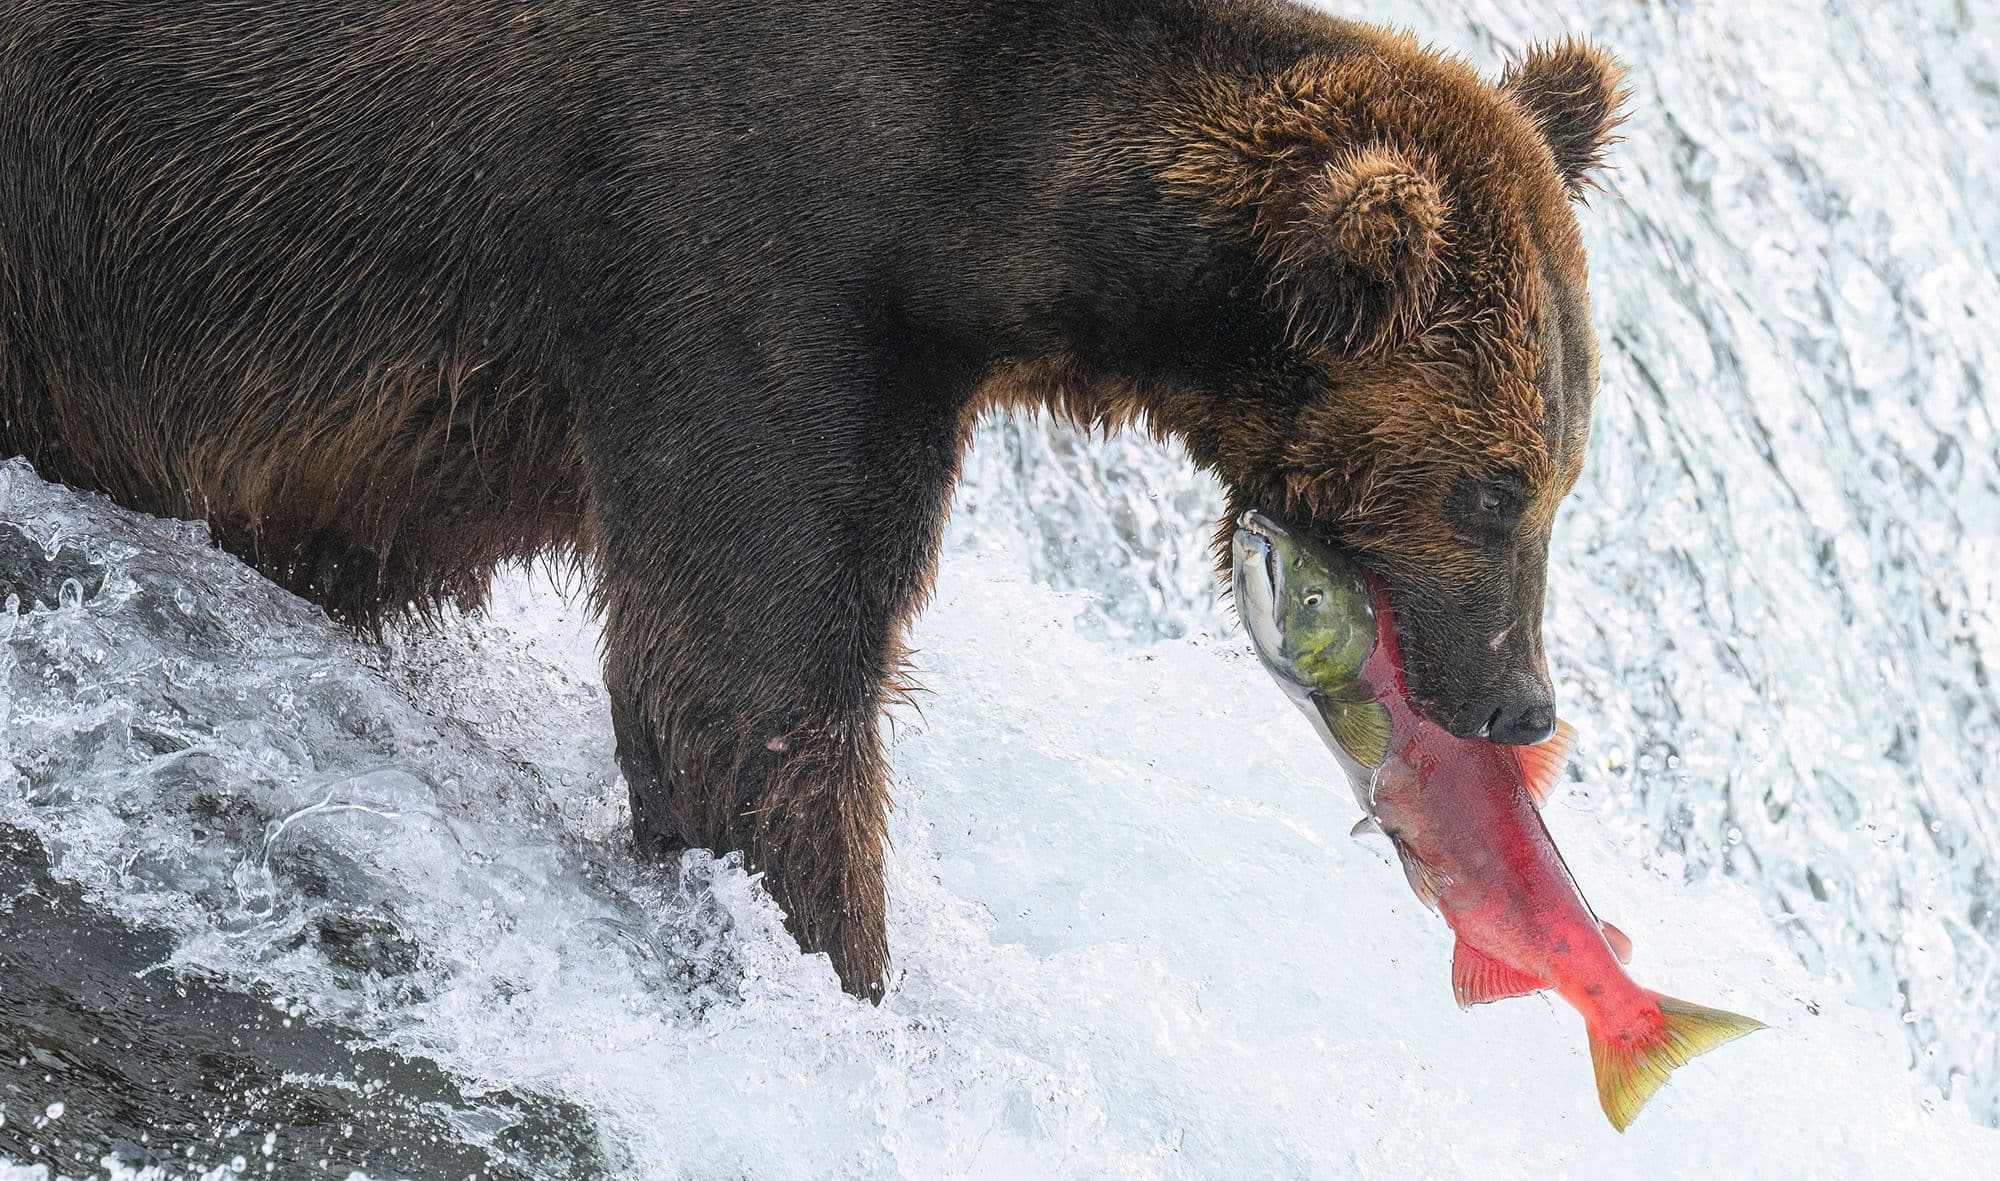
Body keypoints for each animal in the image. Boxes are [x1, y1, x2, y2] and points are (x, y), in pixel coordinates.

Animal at [0, 1, 1625, 998]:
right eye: (1491, 488)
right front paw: (848, 974)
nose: (1519, 702)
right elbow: (752, 682)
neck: (978, 197)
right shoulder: (742, 237)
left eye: (1562, 474)